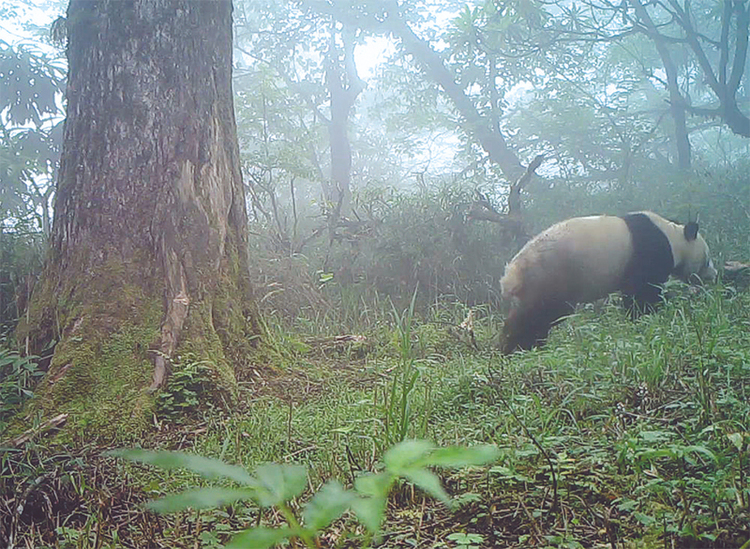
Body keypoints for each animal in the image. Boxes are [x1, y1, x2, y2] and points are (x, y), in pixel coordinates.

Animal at [502, 212, 720, 354]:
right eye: (707, 258)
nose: (714, 274)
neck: (671, 235)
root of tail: (510, 275)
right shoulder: (648, 250)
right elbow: (642, 292)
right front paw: (647, 316)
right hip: (550, 277)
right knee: (536, 315)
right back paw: (518, 347)